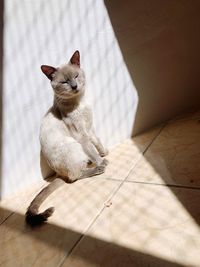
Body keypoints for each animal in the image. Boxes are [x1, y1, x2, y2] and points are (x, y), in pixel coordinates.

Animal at [26, 50, 109, 226]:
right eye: (64, 82)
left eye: (76, 76)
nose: (74, 86)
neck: (79, 102)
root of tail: (58, 173)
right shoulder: (81, 134)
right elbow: (92, 150)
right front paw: (102, 160)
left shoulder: (90, 128)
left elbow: (97, 143)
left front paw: (105, 152)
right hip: (73, 146)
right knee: (74, 177)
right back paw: (98, 168)